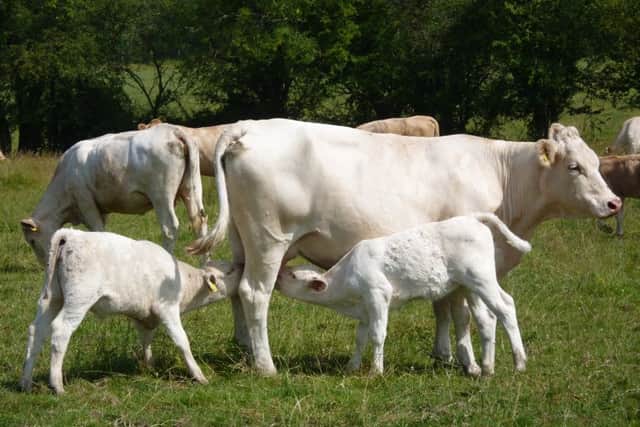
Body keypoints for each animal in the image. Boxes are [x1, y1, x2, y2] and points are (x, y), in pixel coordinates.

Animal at [21, 123, 207, 265]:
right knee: (200, 221)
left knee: (169, 228)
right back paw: (205, 263)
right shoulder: (100, 207)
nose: (45, 265)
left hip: (161, 196)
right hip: (192, 189)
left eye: (32, 241)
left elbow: (98, 230)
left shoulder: (86, 202)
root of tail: (173, 130)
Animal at [21, 228, 241, 394]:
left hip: (51, 297)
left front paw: (150, 367)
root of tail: (71, 235)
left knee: (36, 330)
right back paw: (57, 385)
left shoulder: (144, 316)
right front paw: (199, 375)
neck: (182, 280)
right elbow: (182, 341)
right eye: (230, 271)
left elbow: (146, 340)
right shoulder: (167, 308)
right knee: (60, 331)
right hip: (79, 298)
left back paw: (26, 383)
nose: (242, 265)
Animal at [276, 214, 531, 375]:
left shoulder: (378, 294)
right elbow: (360, 338)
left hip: (482, 278)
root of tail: (472, 218)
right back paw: (486, 368)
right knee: (488, 318)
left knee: (506, 307)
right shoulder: (365, 309)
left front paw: (376, 371)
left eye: (293, 276)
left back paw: (519, 363)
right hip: (470, 286)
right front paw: (352, 366)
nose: (277, 276)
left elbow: (378, 334)